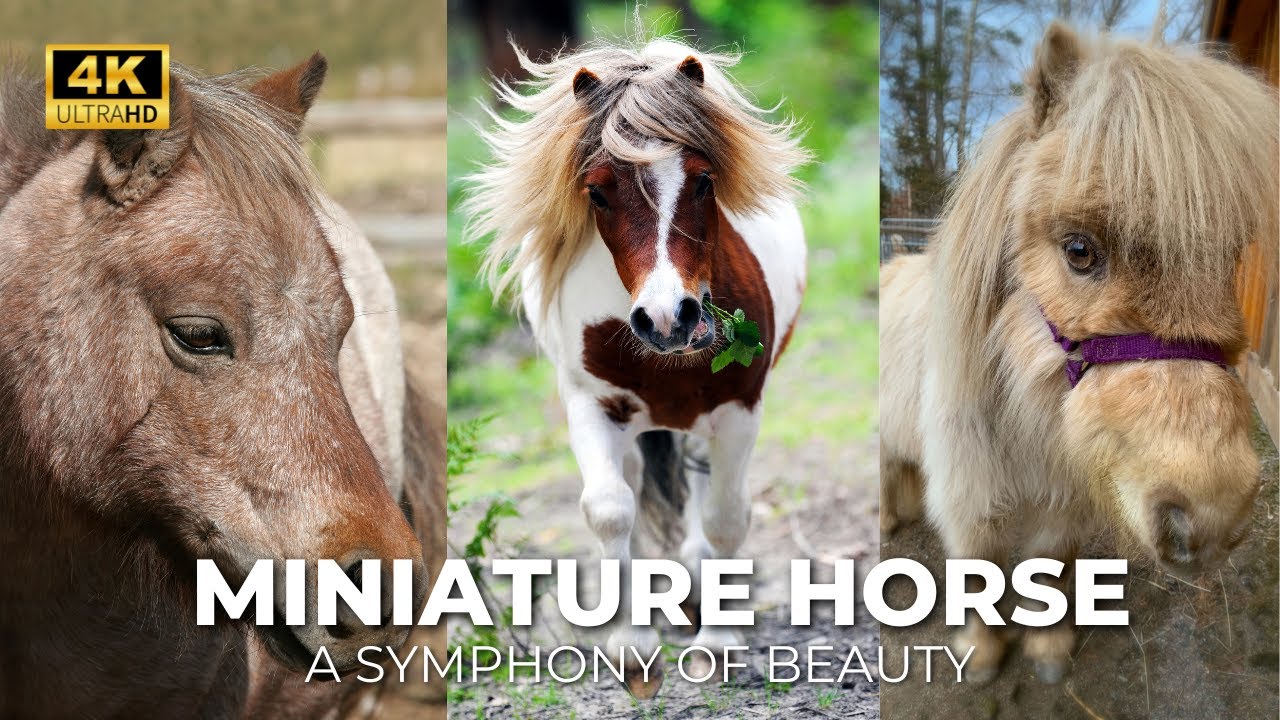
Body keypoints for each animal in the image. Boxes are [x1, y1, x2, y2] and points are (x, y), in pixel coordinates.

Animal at [463, 37, 808, 697]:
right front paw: (632, 651)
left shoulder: (738, 412)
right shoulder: (592, 407)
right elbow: (609, 510)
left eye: (704, 180)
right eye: (597, 191)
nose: (669, 317)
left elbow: (726, 520)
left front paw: (718, 645)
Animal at [880, 22, 1278, 684]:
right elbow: (978, 575)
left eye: (1230, 256)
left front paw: (1047, 655)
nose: (1214, 515)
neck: (1028, 415)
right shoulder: (970, 502)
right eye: (1079, 249)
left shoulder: (1061, 504)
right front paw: (983, 658)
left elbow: (1048, 570)